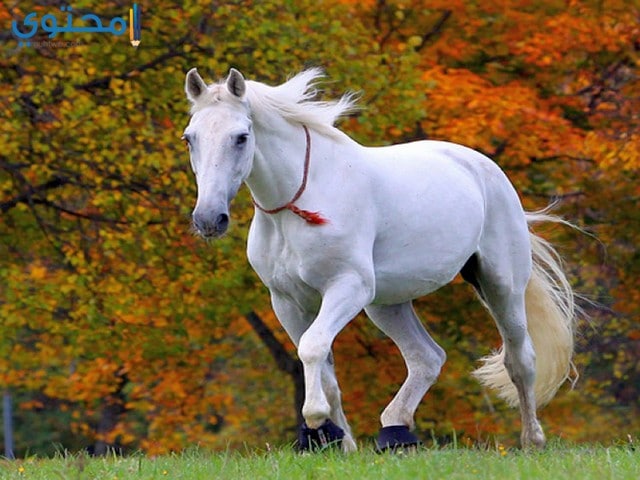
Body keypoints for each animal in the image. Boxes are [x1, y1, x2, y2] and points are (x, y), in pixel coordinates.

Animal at [181, 68, 576, 454]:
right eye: (189, 138)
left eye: (241, 137)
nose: (209, 219)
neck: (300, 203)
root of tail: (483, 167)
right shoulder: (287, 301)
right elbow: (325, 368)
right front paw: (340, 442)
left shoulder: (348, 287)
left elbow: (312, 346)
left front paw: (316, 419)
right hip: (387, 304)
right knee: (426, 358)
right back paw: (395, 433)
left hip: (500, 286)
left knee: (520, 359)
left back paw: (532, 440)